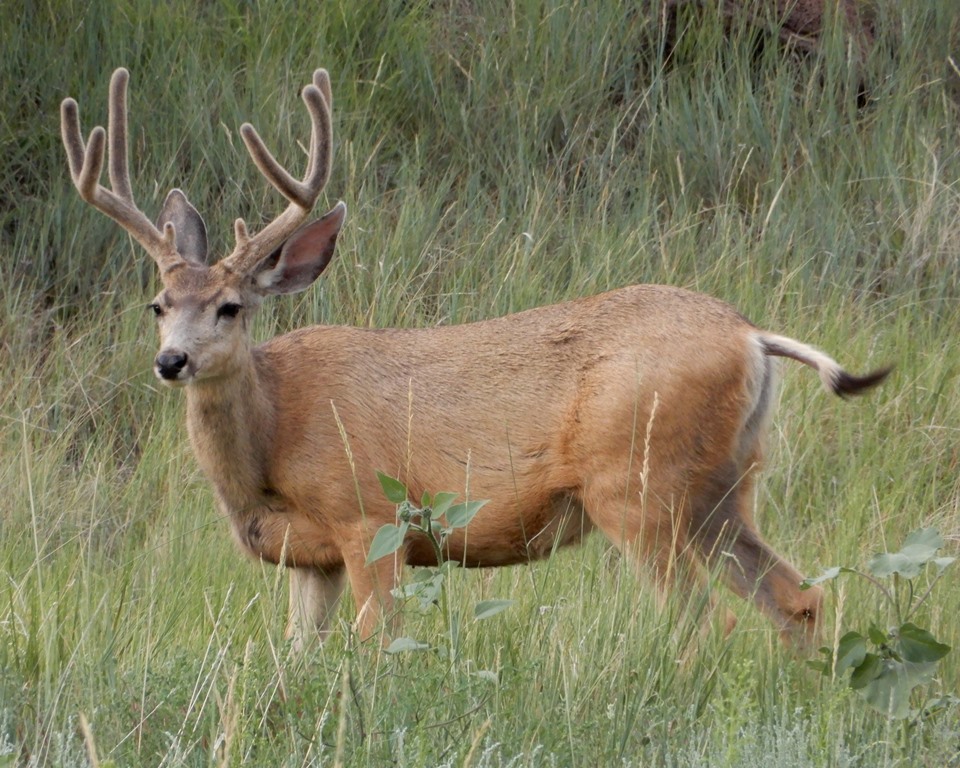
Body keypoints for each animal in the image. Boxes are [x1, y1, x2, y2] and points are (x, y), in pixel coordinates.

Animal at [58, 69, 884, 652]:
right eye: (157, 305)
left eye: (230, 308)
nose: (171, 362)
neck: (273, 437)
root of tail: (751, 337)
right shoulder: (310, 559)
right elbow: (299, 657)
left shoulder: (370, 517)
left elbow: (378, 644)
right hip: (720, 490)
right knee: (799, 598)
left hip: (639, 484)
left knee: (706, 622)